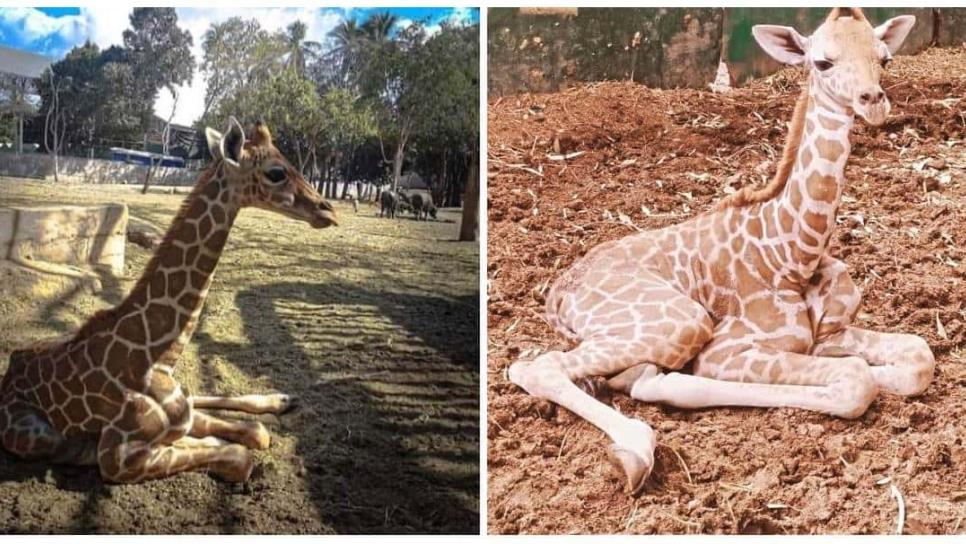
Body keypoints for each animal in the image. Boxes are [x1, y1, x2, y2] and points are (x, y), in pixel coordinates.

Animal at [0, 117, 340, 482]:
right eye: (276, 172)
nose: (329, 211)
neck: (160, 357)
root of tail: (9, 370)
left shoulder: (178, 416)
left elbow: (254, 433)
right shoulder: (116, 456)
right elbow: (238, 454)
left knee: (202, 401)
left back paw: (283, 399)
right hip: (32, 437)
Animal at [506, 7, 936, 498]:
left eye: (884, 59)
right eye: (823, 62)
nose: (874, 101)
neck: (794, 253)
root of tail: (555, 293)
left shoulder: (828, 334)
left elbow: (918, 357)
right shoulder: (726, 350)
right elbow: (855, 380)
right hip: (681, 321)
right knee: (535, 367)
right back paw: (635, 447)